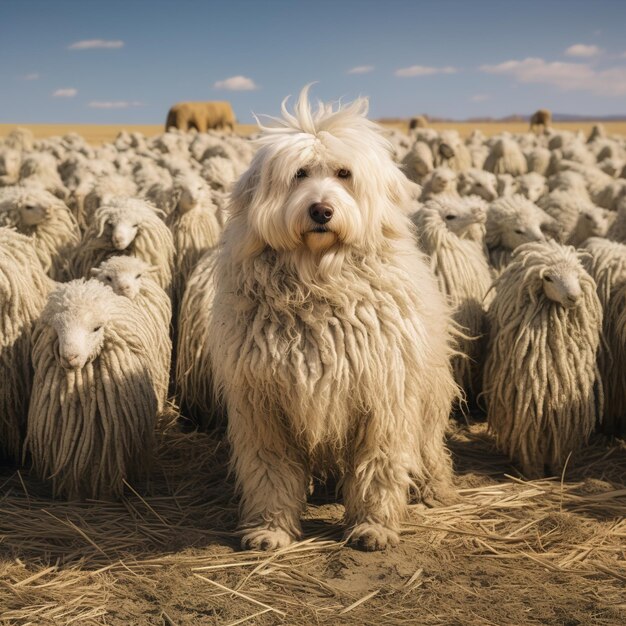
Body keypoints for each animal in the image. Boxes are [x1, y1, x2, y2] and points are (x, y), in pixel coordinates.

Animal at [207, 85, 456, 548]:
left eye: (344, 174)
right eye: (300, 174)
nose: (321, 210)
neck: (318, 282)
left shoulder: (383, 397)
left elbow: (379, 463)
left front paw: (374, 525)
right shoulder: (264, 405)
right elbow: (271, 470)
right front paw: (270, 529)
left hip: (428, 399)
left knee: (430, 449)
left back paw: (435, 489)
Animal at [480, 241, 604, 476]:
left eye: (577, 274)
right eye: (548, 278)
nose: (574, 297)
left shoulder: (566, 412)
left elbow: (561, 440)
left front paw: (559, 468)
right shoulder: (528, 406)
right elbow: (529, 440)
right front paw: (533, 472)